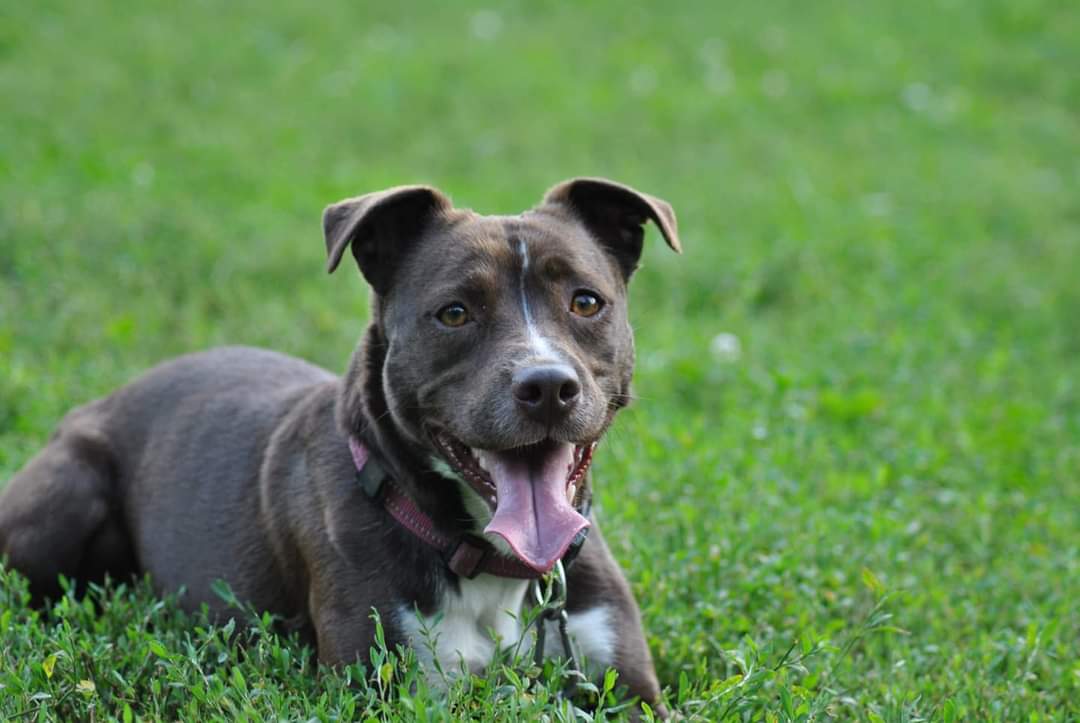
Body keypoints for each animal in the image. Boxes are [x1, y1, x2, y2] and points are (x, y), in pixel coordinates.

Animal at [0, 177, 680, 714]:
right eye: (455, 313)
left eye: (586, 302)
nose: (546, 386)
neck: (491, 559)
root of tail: (97, 402)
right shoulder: (384, 688)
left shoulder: (630, 687)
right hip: (69, 492)